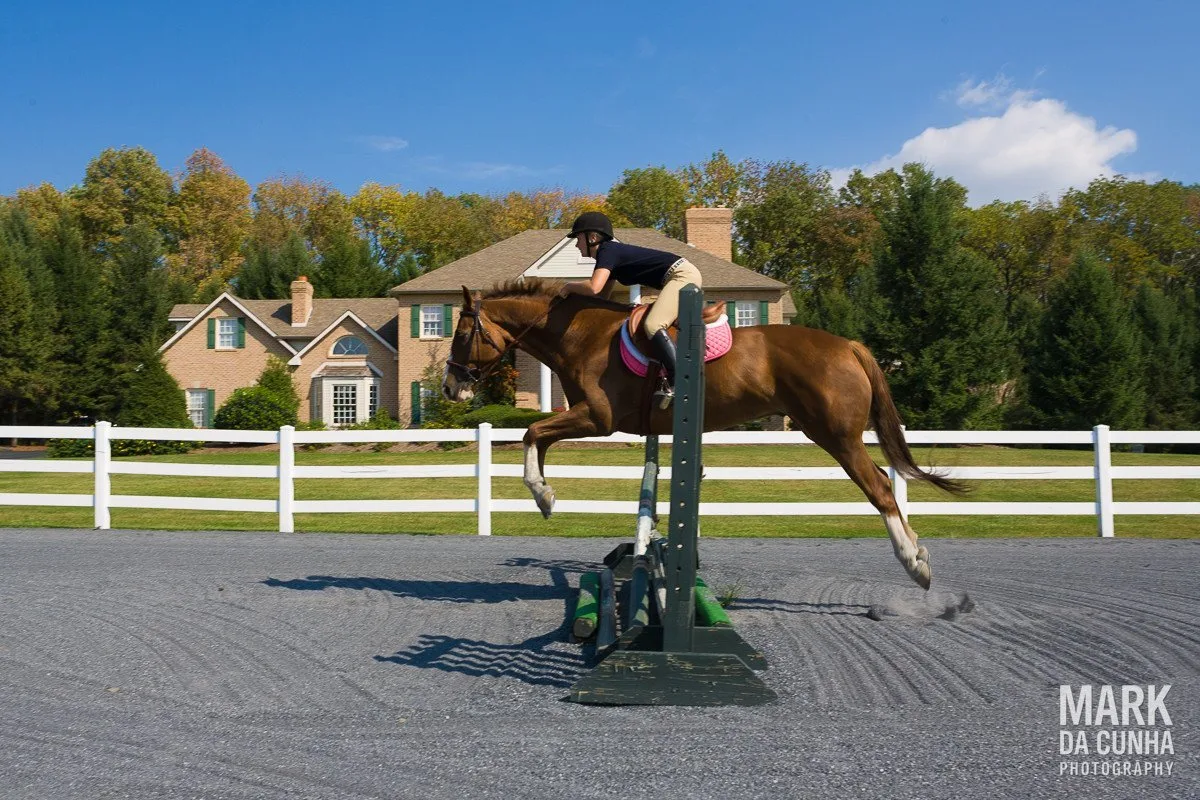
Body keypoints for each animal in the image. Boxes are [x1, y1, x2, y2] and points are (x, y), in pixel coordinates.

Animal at [441, 279, 964, 590]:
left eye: (462, 335)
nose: (449, 387)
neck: (578, 334)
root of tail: (850, 345)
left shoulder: (598, 418)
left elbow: (533, 432)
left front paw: (544, 497)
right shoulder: (593, 419)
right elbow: (540, 436)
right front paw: (548, 497)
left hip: (836, 435)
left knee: (880, 488)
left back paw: (915, 563)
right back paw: (917, 553)